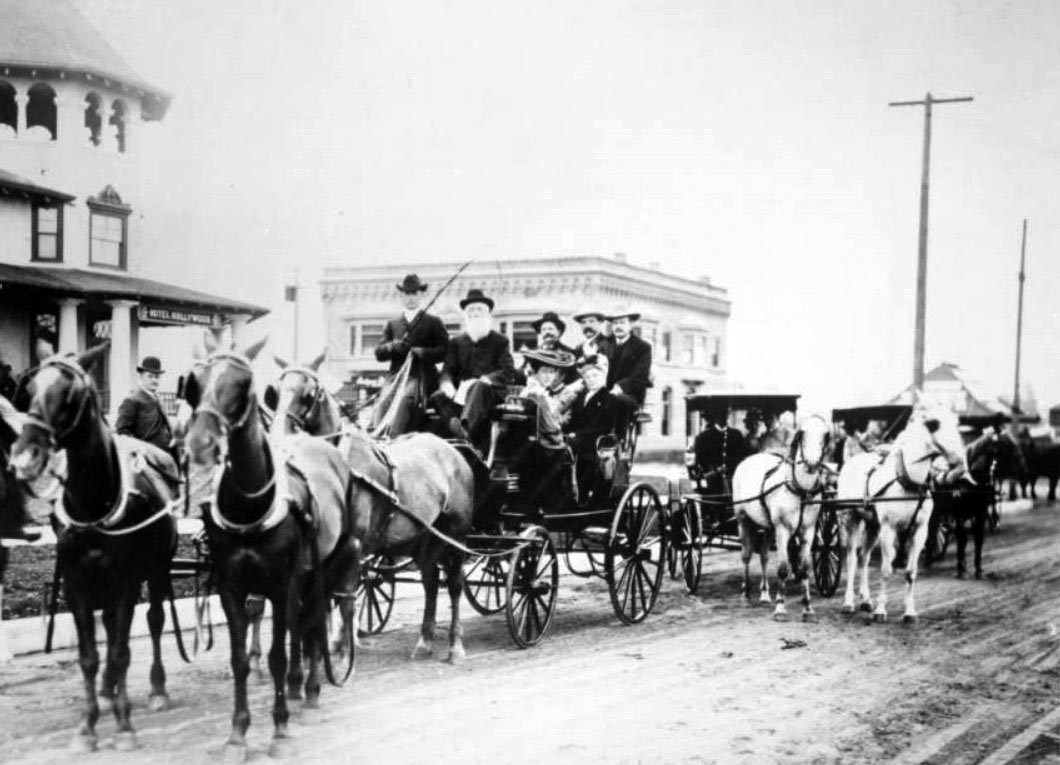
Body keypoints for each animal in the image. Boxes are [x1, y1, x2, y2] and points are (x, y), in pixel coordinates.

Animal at [8, 347, 180, 750]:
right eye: (30, 390)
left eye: (70, 394)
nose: (24, 458)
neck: (94, 502)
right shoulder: (77, 583)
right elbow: (89, 655)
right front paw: (88, 726)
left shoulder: (127, 582)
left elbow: (120, 650)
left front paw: (124, 726)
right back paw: (107, 690)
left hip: (158, 570)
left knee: (154, 621)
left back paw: (156, 689)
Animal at [182, 341, 360, 758]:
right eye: (195, 382)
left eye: (243, 384)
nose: (201, 443)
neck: (251, 504)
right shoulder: (231, 586)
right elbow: (239, 659)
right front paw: (237, 734)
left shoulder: (281, 583)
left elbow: (281, 652)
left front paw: (280, 730)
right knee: (305, 623)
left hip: (328, 564)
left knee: (314, 621)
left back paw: (310, 689)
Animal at [269, 349, 476, 656]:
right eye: (277, 391)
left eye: (310, 393)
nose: (280, 436)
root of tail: (454, 451)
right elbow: (325, 595)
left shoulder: (355, 543)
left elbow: (344, 595)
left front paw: (342, 646)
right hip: (423, 538)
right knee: (430, 582)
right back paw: (424, 641)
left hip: (456, 535)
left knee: (454, 584)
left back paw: (455, 646)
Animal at [733, 411, 831, 618]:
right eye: (802, 433)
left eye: (825, 435)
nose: (812, 463)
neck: (800, 489)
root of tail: (747, 460)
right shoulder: (783, 530)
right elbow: (783, 568)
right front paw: (780, 606)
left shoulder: (808, 531)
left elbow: (804, 568)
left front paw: (807, 606)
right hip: (743, 519)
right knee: (746, 555)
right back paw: (745, 595)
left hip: (767, 526)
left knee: (763, 556)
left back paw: (764, 594)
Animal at [839, 404, 966, 618]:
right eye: (933, 424)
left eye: (957, 422)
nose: (959, 460)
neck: (907, 481)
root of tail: (852, 459)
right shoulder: (888, 529)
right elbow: (886, 569)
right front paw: (881, 610)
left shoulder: (920, 531)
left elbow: (910, 572)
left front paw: (910, 611)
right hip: (851, 519)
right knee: (851, 559)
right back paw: (848, 602)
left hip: (873, 525)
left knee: (864, 558)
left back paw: (865, 600)